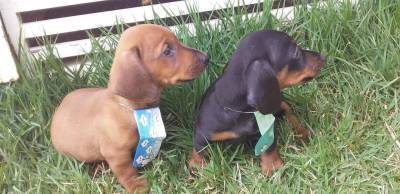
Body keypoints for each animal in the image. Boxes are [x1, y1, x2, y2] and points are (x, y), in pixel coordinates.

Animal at [50, 24, 209, 192]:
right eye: (167, 51)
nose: (206, 57)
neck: (133, 110)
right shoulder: (116, 154)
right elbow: (126, 171)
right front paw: (136, 185)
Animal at [190, 29, 324, 176]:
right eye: (295, 51)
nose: (323, 57)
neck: (238, 110)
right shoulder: (202, 132)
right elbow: (199, 149)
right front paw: (196, 165)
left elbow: (269, 145)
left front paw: (272, 165)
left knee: (289, 113)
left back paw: (303, 133)